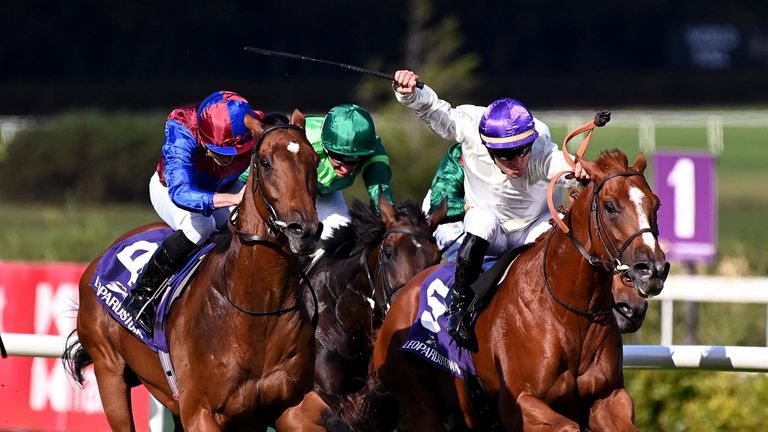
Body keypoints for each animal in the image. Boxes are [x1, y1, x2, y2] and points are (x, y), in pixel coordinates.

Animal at [62, 109, 320, 430]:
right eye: (265, 162)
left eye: (315, 160)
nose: (304, 230)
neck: (259, 310)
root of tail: (99, 261)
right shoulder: (200, 411)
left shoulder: (292, 405)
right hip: (109, 370)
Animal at [344, 149, 668, 432]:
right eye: (610, 206)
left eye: (656, 204)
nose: (652, 269)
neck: (570, 313)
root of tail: (397, 304)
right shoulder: (519, 405)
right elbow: (567, 426)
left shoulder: (609, 398)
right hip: (420, 403)